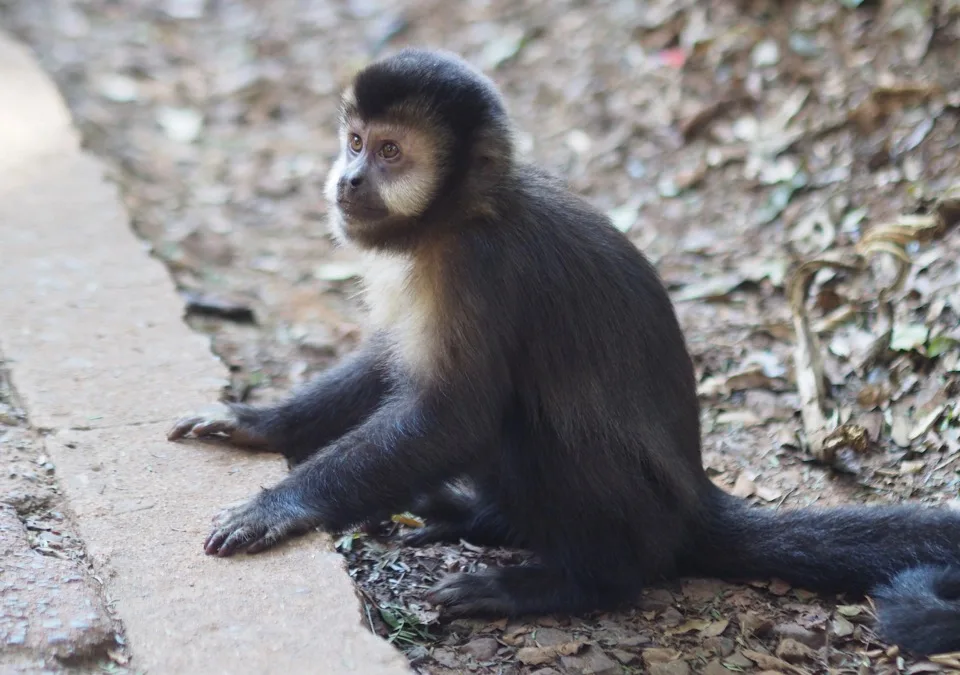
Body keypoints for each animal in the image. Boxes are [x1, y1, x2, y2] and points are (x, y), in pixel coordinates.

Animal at [167, 48, 960, 655]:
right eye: (356, 142)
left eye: (391, 153)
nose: (350, 179)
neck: (464, 215)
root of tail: (697, 503)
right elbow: (390, 364)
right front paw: (257, 423)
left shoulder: (481, 268)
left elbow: (455, 415)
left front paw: (283, 503)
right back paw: (481, 521)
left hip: (644, 518)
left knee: (537, 423)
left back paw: (573, 581)